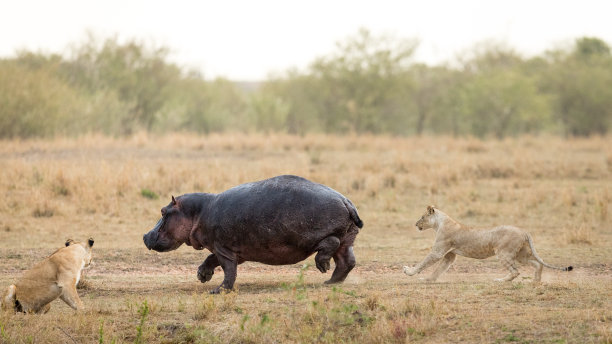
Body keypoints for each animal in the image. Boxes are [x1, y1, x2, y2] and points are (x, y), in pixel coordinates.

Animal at [143, 175, 364, 292]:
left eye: (163, 211)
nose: (145, 236)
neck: (197, 212)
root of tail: (346, 201)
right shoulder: (229, 250)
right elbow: (210, 259)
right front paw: (202, 275)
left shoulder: (224, 249)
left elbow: (228, 270)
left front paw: (218, 290)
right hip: (349, 237)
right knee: (347, 261)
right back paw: (331, 281)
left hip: (310, 238)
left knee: (330, 244)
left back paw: (323, 266)